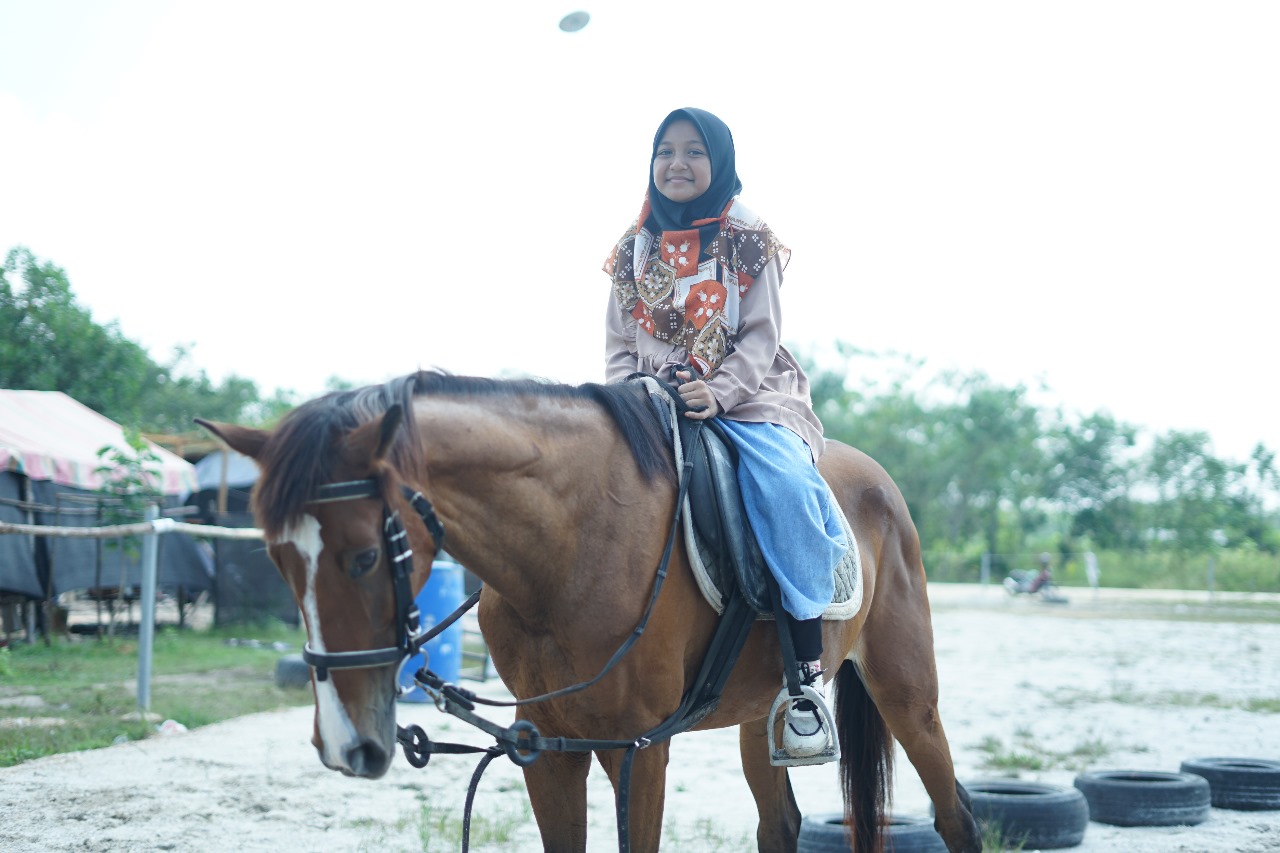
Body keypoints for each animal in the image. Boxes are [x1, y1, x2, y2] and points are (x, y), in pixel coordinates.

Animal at [198, 370, 980, 853]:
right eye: (276, 558)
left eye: (363, 557)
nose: (344, 745)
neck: (566, 548)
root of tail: (880, 481)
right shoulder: (547, 748)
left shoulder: (638, 748)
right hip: (761, 716)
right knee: (780, 825)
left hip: (908, 694)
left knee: (957, 816)